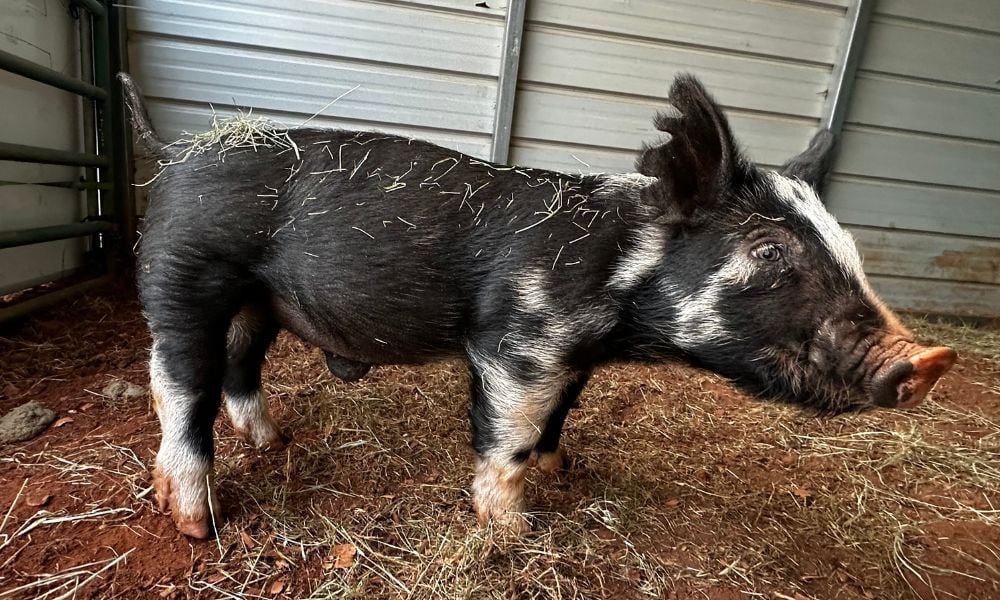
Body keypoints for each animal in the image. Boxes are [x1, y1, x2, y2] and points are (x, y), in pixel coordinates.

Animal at [118, 72, 957, 539]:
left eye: (847, 245)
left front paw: (567, 470)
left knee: (239, 365)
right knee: (178, 386)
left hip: (259, 300)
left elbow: (561, 417)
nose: (931, 359)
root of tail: (174, 152)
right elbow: (510, 433)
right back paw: (196, 526)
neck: (619, 307)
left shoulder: (574, 356)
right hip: (183, 275)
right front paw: (517, 529)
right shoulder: (519, 342)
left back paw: (274, 439)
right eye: (770, 252)